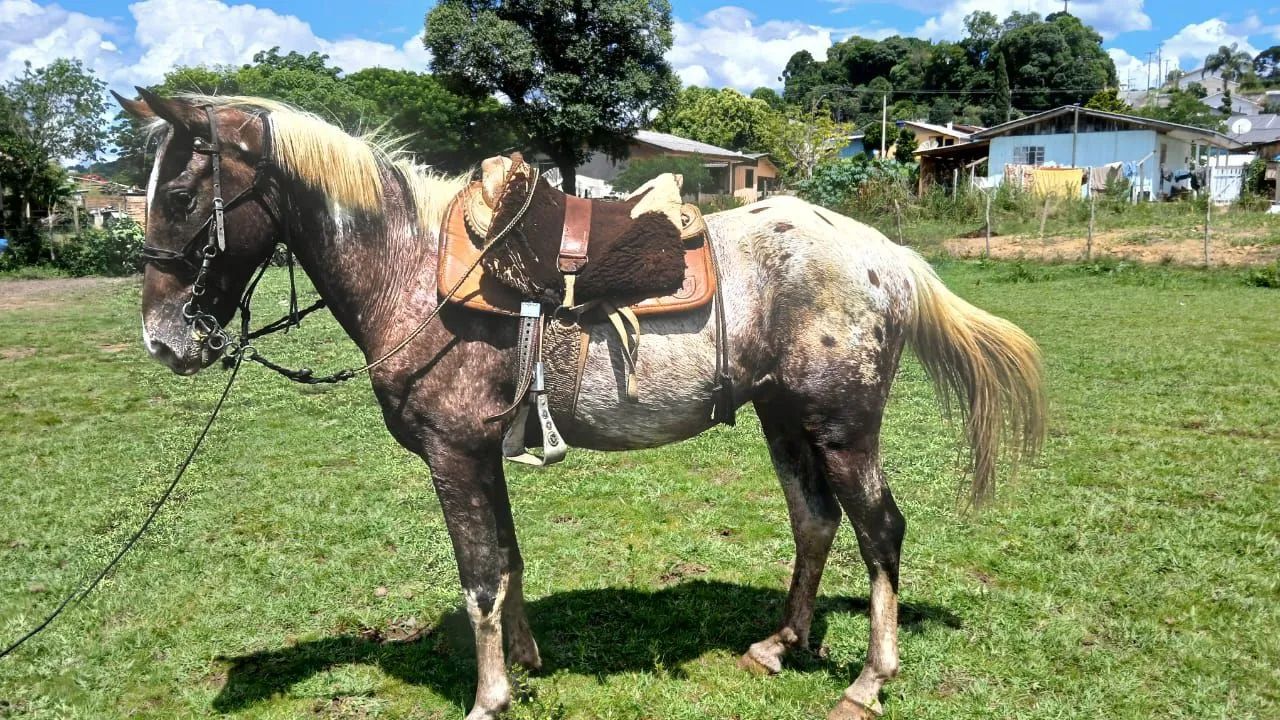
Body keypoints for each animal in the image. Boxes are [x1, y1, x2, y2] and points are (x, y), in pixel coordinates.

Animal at [115, 90, 1046, 720]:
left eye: (180, 197)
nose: (163, 341)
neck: (415, 271)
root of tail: (883, 254)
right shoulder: (482, 454)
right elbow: (507, 561)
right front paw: (526, 663)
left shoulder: (453, 455)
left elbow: (477, 578)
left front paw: (487, 696)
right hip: (784, 419)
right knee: (814, 522)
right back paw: (781, 645)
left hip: (843, 427)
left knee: (879, 531)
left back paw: (867, 682)